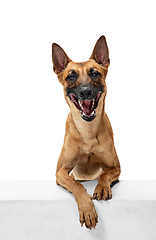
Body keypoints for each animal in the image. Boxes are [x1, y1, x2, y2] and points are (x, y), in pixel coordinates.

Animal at [52, 35, 120, 229]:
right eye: (71, 76)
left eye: (95, 73)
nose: (85, 92)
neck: (87, 131)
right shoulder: (61, 171)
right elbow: (77, 185)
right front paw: (88, 209)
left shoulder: (115, 167)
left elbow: (104, 175)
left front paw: (102, 188)